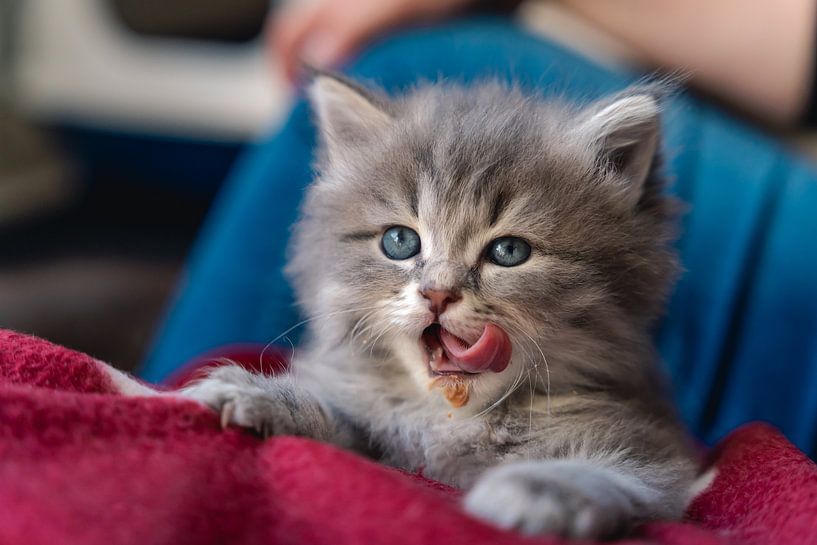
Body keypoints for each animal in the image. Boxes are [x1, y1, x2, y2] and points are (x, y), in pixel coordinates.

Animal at [183, 74, 696, 536]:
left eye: (509, 251)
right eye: (399, 241)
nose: (438, 292)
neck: (450, 419)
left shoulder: (655, 452)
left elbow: (607, 472)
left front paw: (537, 491)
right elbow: (348, 424)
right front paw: (267, 396)